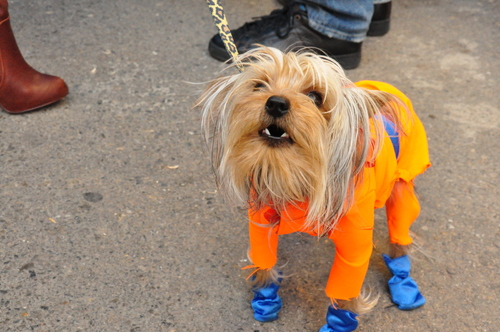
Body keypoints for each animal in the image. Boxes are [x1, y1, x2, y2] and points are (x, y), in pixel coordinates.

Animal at [195, 47, 430, 332]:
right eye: (259, 85)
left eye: (315, 97)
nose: (276, 103)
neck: (295, 175)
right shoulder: (261, 220)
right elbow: (264, 259)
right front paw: (265, 300)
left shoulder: (355, 243)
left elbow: (345, 288)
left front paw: (339, 323)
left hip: (403, 181)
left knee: (401, 229)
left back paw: (403, 283)